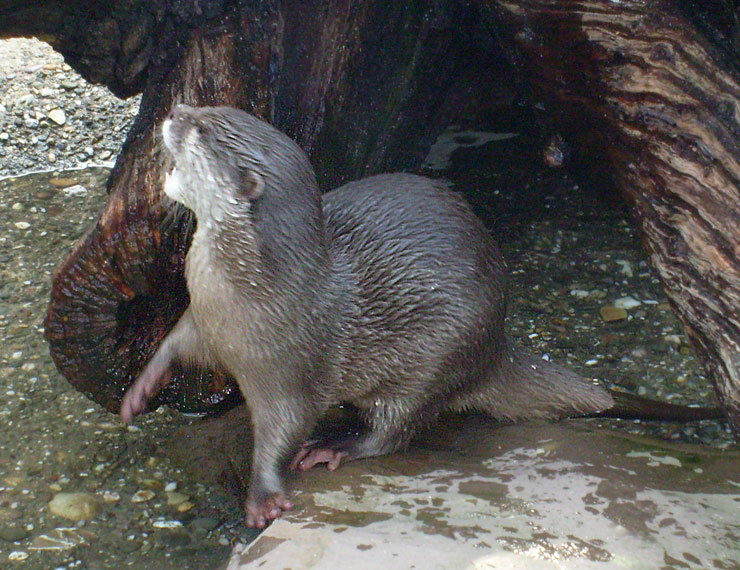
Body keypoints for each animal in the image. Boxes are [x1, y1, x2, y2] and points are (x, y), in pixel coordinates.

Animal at [118, 104, 632, 524]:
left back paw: (337, 446)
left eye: (201, 130)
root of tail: (497, 349)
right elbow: (172, 345)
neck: (253, 294)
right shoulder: (203, 324)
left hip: (440, 359)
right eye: (207, 108)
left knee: (396, 430)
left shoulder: (290, 374)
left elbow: (285, 430)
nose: (175, 111)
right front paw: (139, 391)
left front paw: (263, 497)